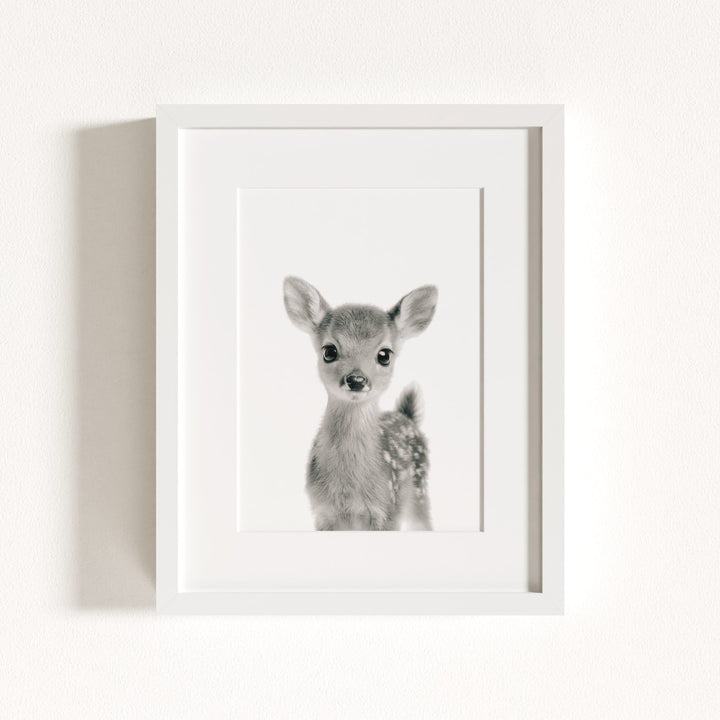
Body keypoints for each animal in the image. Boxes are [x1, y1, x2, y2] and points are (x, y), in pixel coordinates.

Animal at [283, 276, 438, 531]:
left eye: (384, 355)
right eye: (329, 351)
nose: (356, 380)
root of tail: (407, 416)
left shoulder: (387, 511)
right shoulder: (322, 513)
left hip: (419, 492)